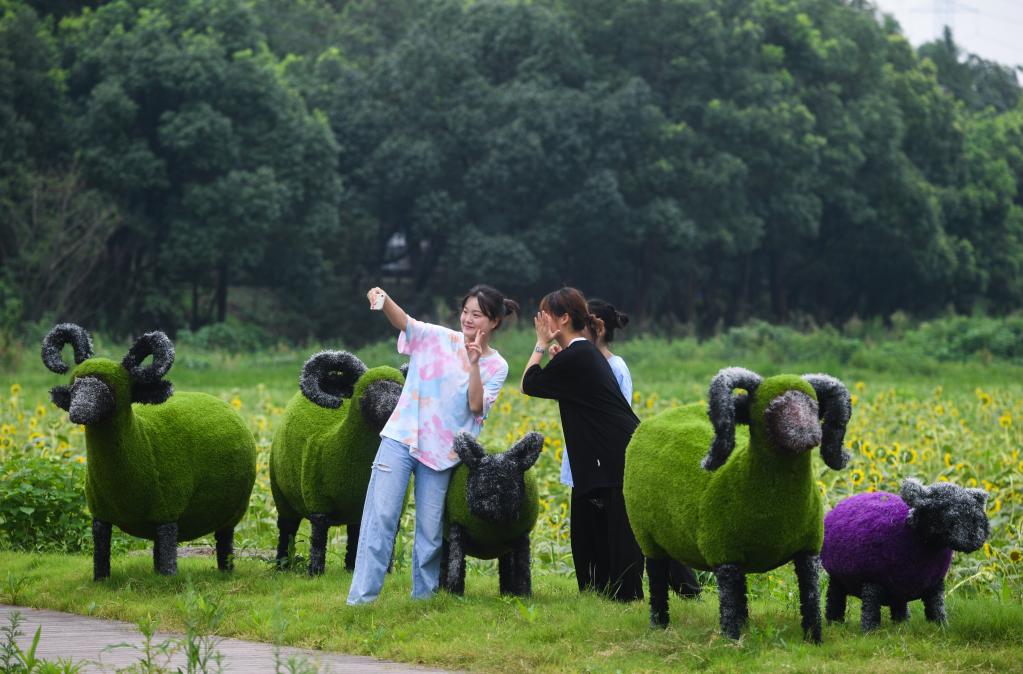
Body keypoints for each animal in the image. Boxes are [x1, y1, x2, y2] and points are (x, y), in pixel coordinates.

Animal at [42, 325, 259, 576]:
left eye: (111, 388)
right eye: (75, 385)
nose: (78, 412)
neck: (142, 439)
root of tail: (226, 405)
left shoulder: (167, 515)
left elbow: (168, 555)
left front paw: (168, 579)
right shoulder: (100, 516)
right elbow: (101, 553)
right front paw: (101, 579)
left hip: (231, 515)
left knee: (224, 541)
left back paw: (226, 570)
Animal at [270, 349, 405, 576]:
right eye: (371, 389)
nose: (393, 412)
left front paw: (387, 572)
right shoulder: (318, 504)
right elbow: (318, 539)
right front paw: (315, 573)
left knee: (354, 533)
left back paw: (351, 568)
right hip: (281, 497)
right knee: (287, 529)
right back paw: (282, 565)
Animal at [626, 368, 851, 642]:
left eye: (814, 405)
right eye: (772, 407)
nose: (810, 435)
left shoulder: (808, 550)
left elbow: (810, 600)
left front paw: (814, 640)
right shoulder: (724, 556)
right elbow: (728, 607)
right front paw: (732, 642)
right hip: (648, 539)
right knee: (657, 581)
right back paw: (659, 625)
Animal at [822, 476, 990, 630]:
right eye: (946, 510)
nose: (975, 537)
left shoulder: (934, 584)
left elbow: (937, 609)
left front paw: (942, 627)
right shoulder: (872, 584)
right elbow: (870, 612)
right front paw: (869, 633)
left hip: (898, 587)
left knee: (900, 608)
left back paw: (902, 625)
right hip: (837, 579)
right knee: (834, 601)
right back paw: (834, 624)